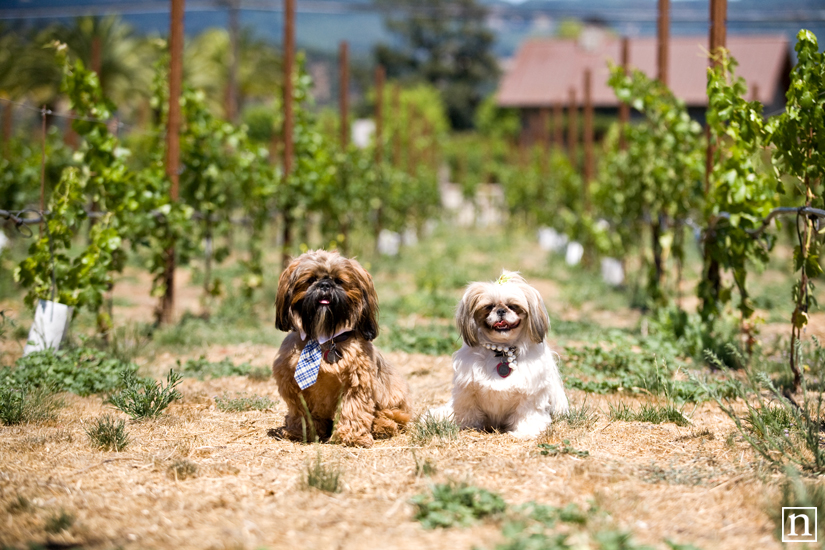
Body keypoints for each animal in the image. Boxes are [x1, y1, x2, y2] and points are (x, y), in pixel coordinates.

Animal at [272, 250, 410, 448]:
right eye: (310, 280)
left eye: (339, 281)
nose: (325, 284)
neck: (324, 338)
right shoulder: (293, 386)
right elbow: (301, 412)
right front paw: (301, 432)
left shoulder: (356, 383)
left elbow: (353, 410)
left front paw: (351, 437)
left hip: (392, 399)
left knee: (393, 416)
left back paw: (382, 426)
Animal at [432, 272, 568, 440]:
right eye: (489, 306)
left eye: (513, 306)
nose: (501, 310)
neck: (502, 351)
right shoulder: (468, 391)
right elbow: (468, 411)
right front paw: (467, 427)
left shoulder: (530, 395)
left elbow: (527, 414)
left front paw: (525, 432)